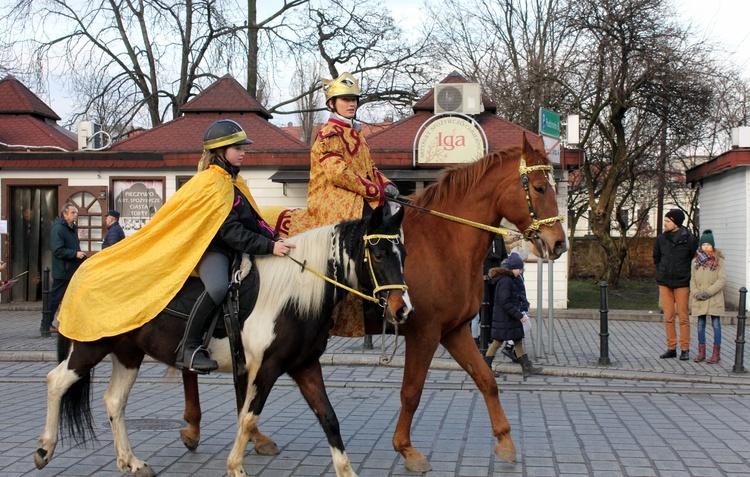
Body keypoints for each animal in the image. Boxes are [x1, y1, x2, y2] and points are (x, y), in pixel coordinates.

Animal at [33, 207, 412, 476]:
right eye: (379, 255)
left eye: (404, 255)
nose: (403, 309)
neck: (292, 296)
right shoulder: (266, 367)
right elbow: (248, 417)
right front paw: (236, 466)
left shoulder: (304, 365)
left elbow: (329, 418)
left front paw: (346, 471)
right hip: (91, 346)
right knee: (55, 381)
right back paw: (44, 450)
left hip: (127, 352)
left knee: (114, 401)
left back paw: (132, 461)